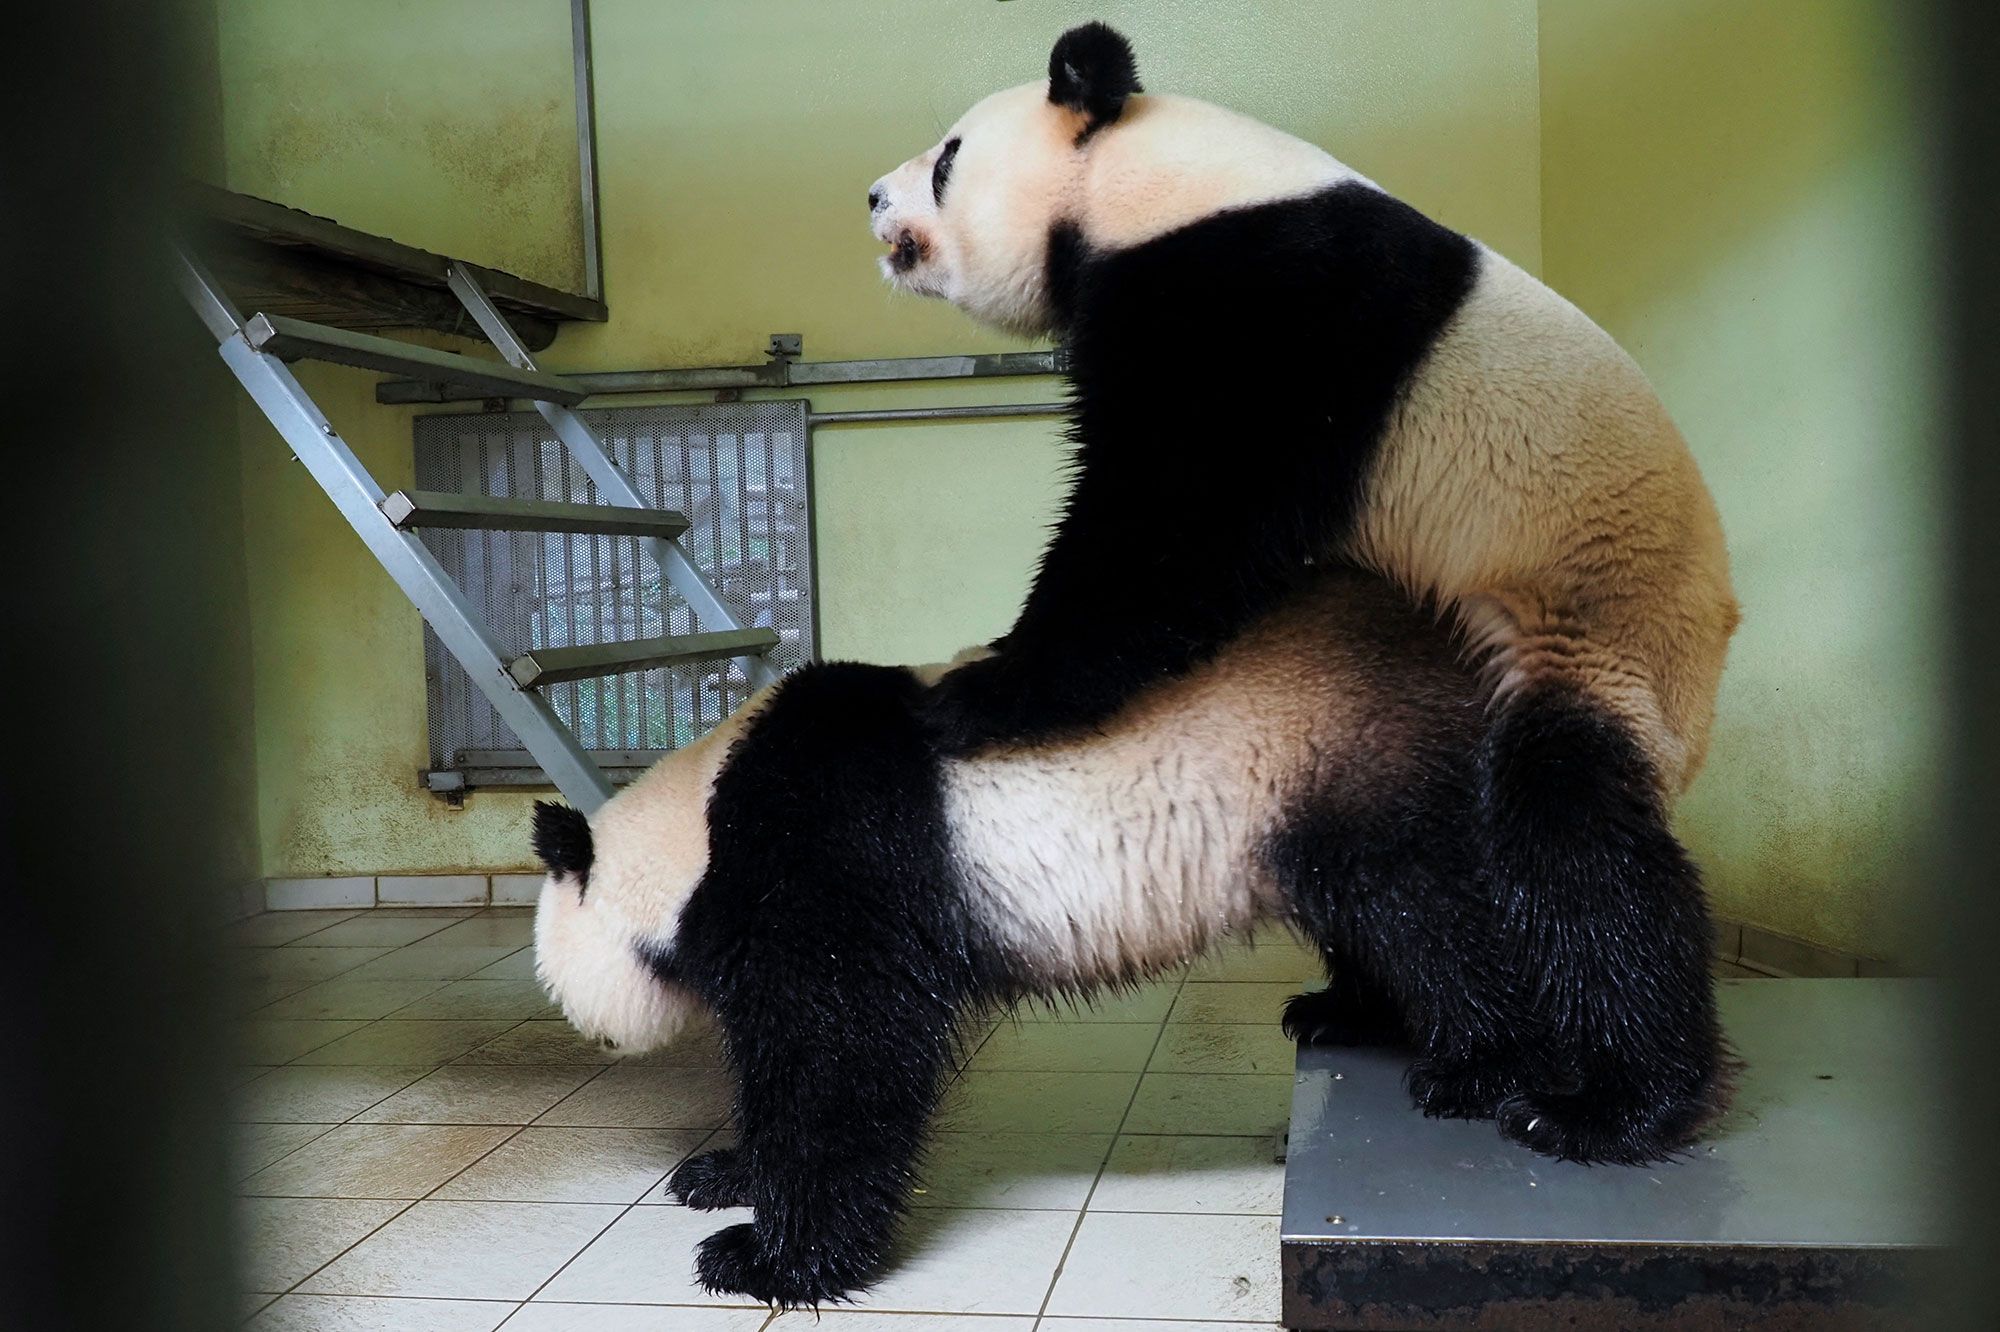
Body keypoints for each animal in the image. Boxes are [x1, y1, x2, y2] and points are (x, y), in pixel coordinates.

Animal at [536, 564, 1736, 1304]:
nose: (589, 1040)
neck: (697, 825)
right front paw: (721, 1170)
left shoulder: (829, 856)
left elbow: (842, 1048)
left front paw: (763, 1255)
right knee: (1386, 910)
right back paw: (1346, 1014)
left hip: (1376, 756)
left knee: (1474, 902)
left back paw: (1530, 1083)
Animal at [872, 18, 1736, 1176]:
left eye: (948, 158)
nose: (873, 198)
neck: (1152, 180)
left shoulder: (1264, 304)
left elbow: (1171, 528)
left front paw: (977, 694)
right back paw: (1355, 1011)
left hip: (1602, 618)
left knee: (1575, 835)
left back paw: (1602, 1102)